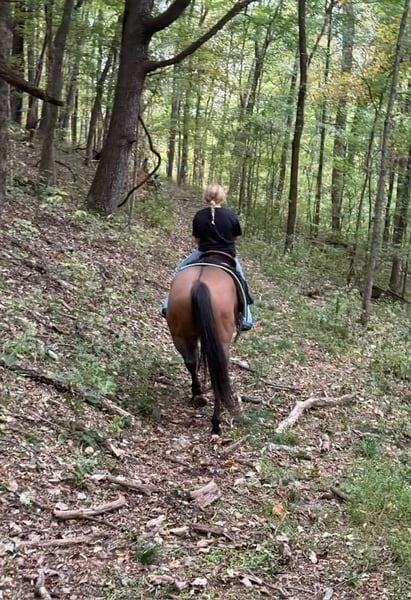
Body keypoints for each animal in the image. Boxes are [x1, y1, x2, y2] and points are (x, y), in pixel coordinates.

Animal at [166, 260, 241, 434]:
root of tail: (198, 284)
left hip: (180, 335)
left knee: (190, 362)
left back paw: (198, 394)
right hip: (221, 342)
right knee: (217, 374)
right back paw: (216, 424)